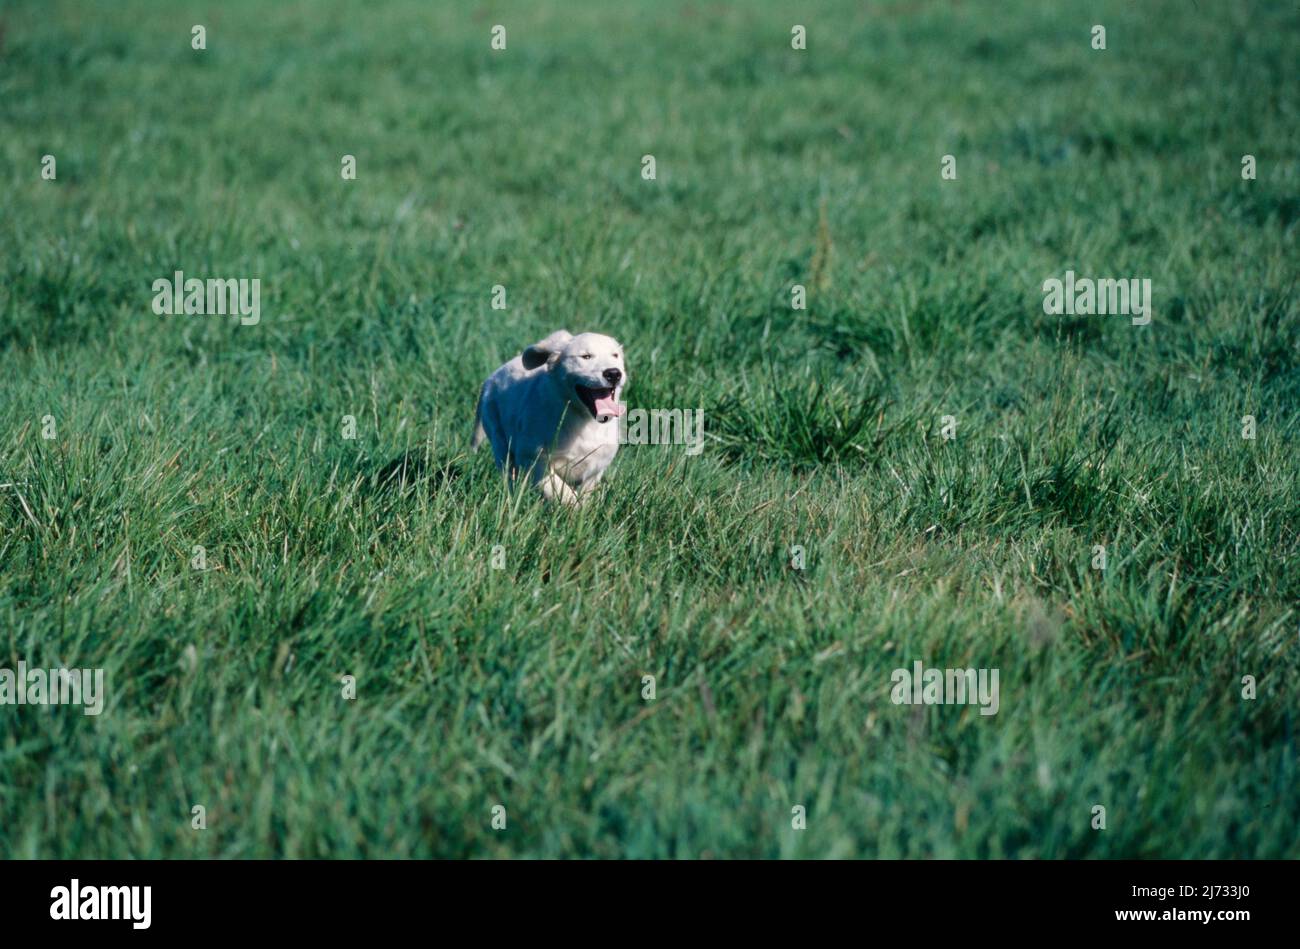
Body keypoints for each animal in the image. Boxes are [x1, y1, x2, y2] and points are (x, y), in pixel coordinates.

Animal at [473, 328, 629, 501]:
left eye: (615, 355)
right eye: (586, 356)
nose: (614, 373)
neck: (582, 418)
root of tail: (489, 380)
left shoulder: (596, 467)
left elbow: (584, 494)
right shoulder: (533, 459)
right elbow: (562, 491)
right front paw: (572, 504)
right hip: (499, 441)